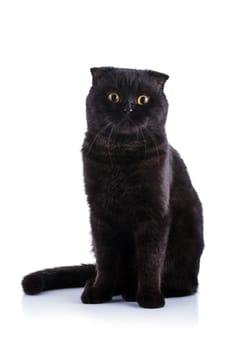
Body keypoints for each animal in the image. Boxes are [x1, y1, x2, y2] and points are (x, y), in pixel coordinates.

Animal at [22, 67, 204, 308]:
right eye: (113, 96)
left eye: (143, 99)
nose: (127, 107)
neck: (121, 154)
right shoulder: (100, 214)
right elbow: (106, 259)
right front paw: (99, 292)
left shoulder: (154, 213)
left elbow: (151, 259)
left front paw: (150, 297)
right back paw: (96, 287)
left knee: (184, 283)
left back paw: (134, 292)